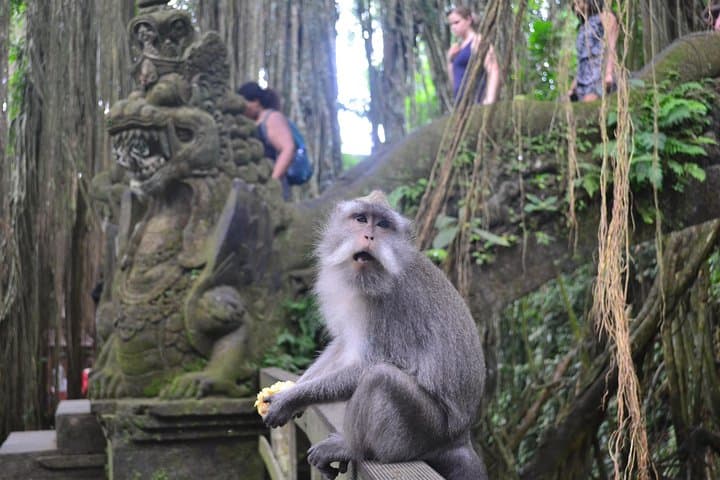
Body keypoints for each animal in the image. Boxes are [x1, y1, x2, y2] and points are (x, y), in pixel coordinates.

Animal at [262, 190, 488, 480]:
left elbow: (368, 365)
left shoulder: (387, 306)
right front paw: (295, 388)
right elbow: (343, 344)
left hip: (426, 432)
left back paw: (353, 448)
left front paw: (290, 399)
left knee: (380, 377)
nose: (369, 236)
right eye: (361, 219)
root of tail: (460, 437)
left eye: (382, 225)